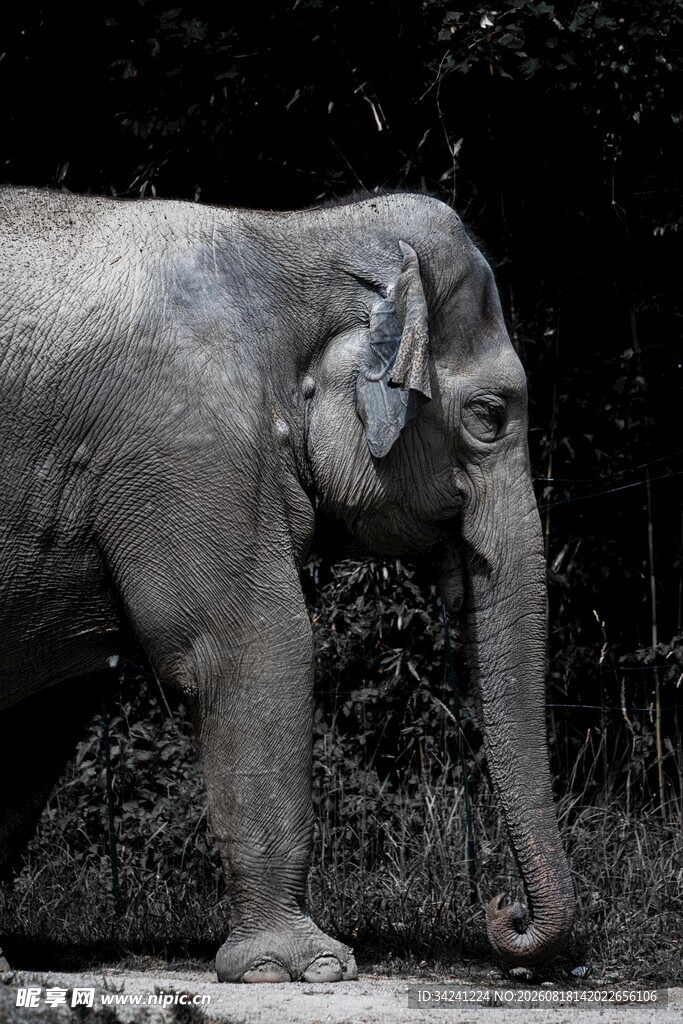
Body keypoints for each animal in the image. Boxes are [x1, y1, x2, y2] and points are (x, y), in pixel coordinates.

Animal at [0, 187, 575, 982]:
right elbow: (255, 646)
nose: (504, 916)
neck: (293, 234)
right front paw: (306, 967)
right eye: (489, 417)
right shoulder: (190, 447)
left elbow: (45, 707)